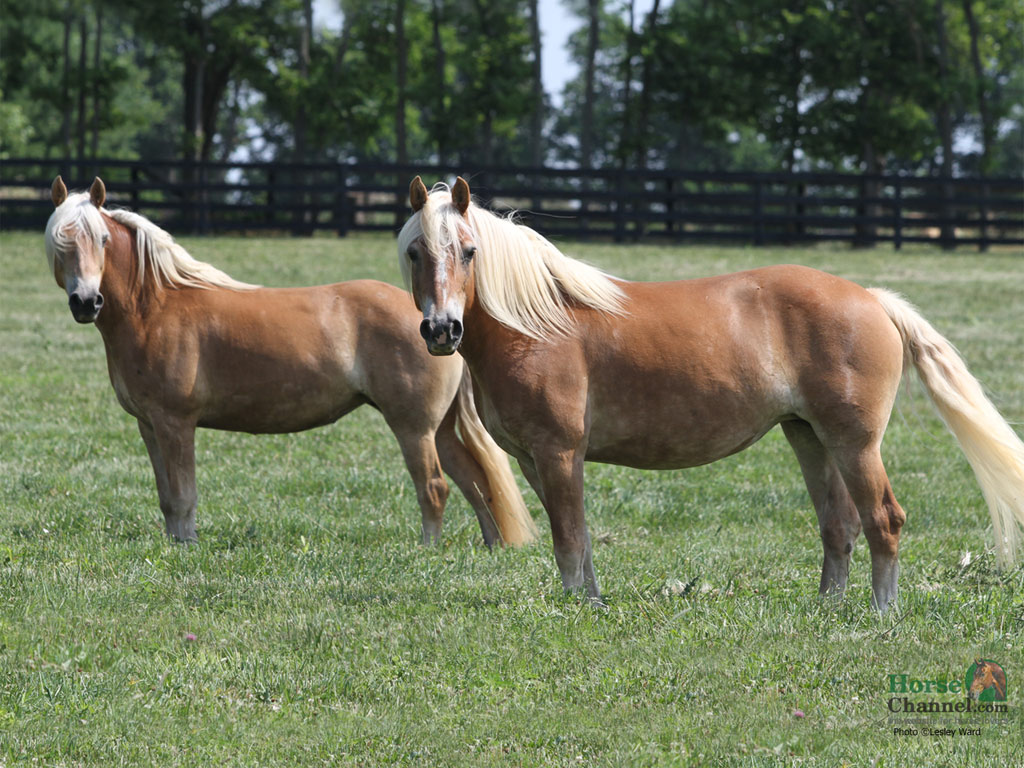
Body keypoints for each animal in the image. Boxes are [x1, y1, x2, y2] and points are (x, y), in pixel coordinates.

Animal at [43, 176, 538, 548]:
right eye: (60, 244)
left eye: (101, 239)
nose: (86, 302)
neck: (156, 306)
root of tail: (440, 320)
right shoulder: (149, 424)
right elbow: (167, 496)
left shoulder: (175, 422)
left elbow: (183, 496)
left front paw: (186, 547)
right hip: (440, 428)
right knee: (475, 482)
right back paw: (492, 547)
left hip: (414, 427)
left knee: (434, 488)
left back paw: (429, 550)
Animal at [397, 176, 1024, 612]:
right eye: (414, 253)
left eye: (469, 251)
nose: (441, 330)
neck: (538, 322)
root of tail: (872, 299)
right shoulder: (536, 460)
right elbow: (574, 536)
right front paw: (593, 602)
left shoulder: (558, 452)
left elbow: (570, 539)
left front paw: (579, 609)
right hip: (809, 437)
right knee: (839, 526)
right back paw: (828, 608)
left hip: (855, 443)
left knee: (883, 520)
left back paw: (881, 613)